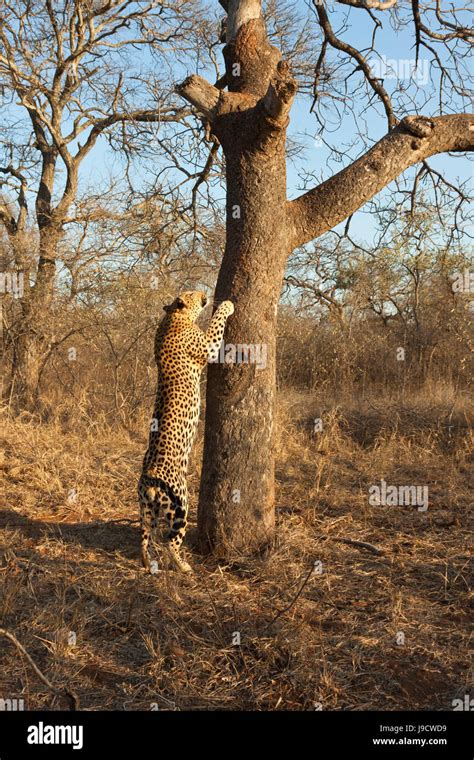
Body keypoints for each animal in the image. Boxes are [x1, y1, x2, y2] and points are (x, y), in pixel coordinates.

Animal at [137, 290, 233, 568]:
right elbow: (217, 322)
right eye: (190, 293)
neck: (173, 317)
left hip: (146, 510)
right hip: (181, 504)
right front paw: (227, 305)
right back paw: (184, 566)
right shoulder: (208, 344)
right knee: (172, 542)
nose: (204, 293)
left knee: (144, 538)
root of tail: (150, 481)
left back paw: (148, 563)